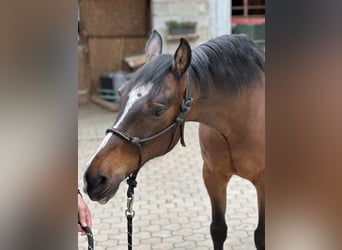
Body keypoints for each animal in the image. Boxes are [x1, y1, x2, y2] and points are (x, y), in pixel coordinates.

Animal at [83, 30, 264, 249]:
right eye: (120, 93)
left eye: (158, 110)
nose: (93, 179)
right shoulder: (213, 176)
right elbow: (218, 229)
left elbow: (261, 237)